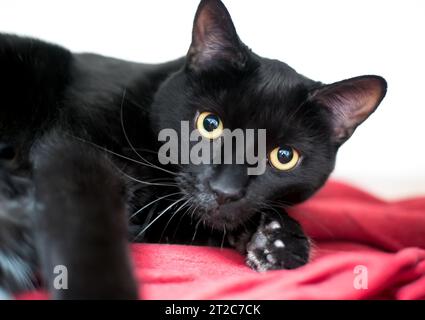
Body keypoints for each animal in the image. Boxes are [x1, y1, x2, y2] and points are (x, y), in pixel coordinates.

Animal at [0, 0, 384, 300]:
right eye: (209, 123)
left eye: (284, 156)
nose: (225, 190)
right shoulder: (76, 153)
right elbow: (87, 224)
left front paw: (279, 241)